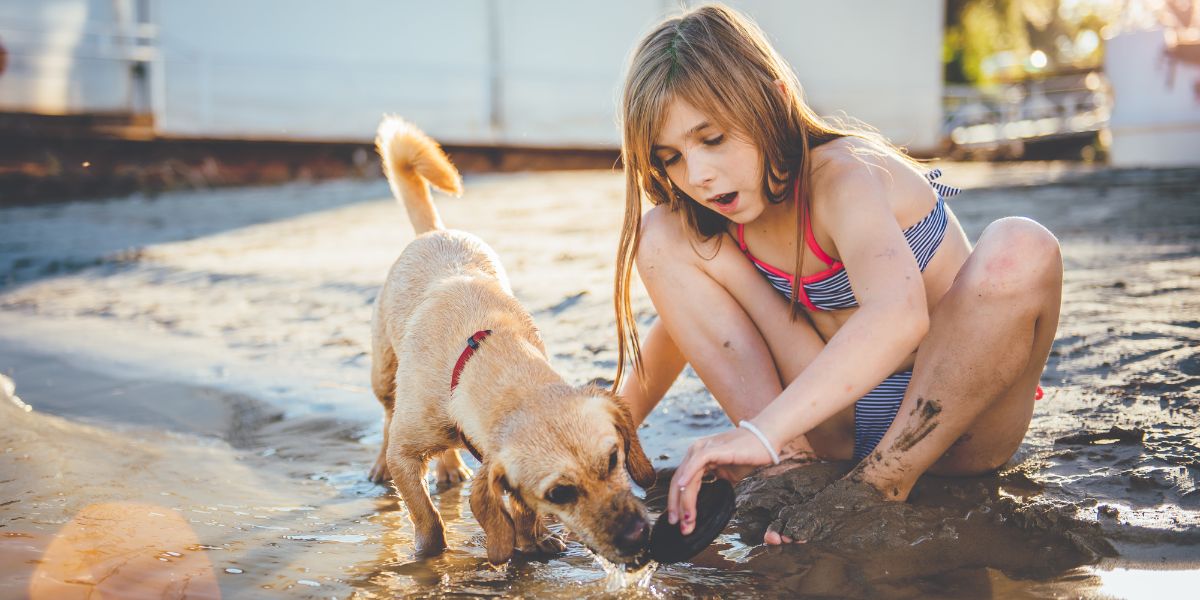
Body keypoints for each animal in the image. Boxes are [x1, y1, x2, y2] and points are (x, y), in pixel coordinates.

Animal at [372, 114, 662, 564]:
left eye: (614, 459)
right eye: (561, 493)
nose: (638, 537)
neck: (485, 353)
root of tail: (435, 232)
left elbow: (521, 507)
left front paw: (533, 538)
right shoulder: (406, 453)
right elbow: (426, 516)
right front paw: (429, 556)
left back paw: (449, 467)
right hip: (384, 376)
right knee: (387, 416)